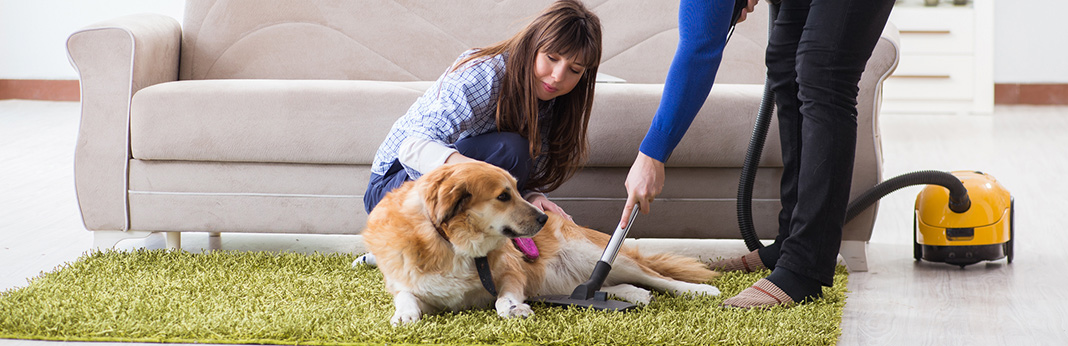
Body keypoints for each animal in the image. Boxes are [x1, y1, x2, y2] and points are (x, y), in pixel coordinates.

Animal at [363, 161, 721, 324]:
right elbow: (406, 295)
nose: (544, 218)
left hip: (596, 253)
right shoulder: (414, 284)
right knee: (598, 286)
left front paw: (512, 308)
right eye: (503, 196)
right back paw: (632, 294)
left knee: (653, 276)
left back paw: (700, 290)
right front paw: (404, 315)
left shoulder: (513, 273)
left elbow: (503, 300)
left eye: (517, 189)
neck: (451, 243)